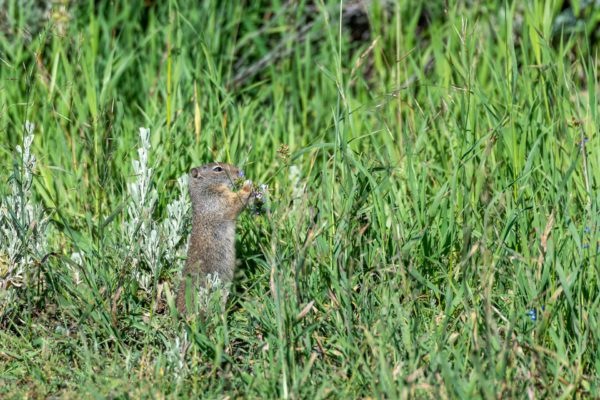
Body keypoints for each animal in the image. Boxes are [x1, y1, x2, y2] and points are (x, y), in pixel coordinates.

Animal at [178, 162, 253, 316]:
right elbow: (235, 201)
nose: (239, 171)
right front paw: (248, 185)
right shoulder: (219, 201)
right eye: (218, 169)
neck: (206, 189)